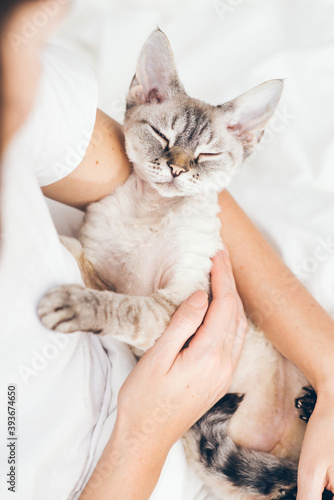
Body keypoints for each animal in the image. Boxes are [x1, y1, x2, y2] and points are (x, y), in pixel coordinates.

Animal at [37, 29, 320, 498]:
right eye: (162, 136)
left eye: (206, 155)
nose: (176, 168)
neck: (149, 214)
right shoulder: (103, 270)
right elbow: (80, 259)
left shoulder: (183, 300)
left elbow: (124, 308)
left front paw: (75, 306)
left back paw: (311, 406)